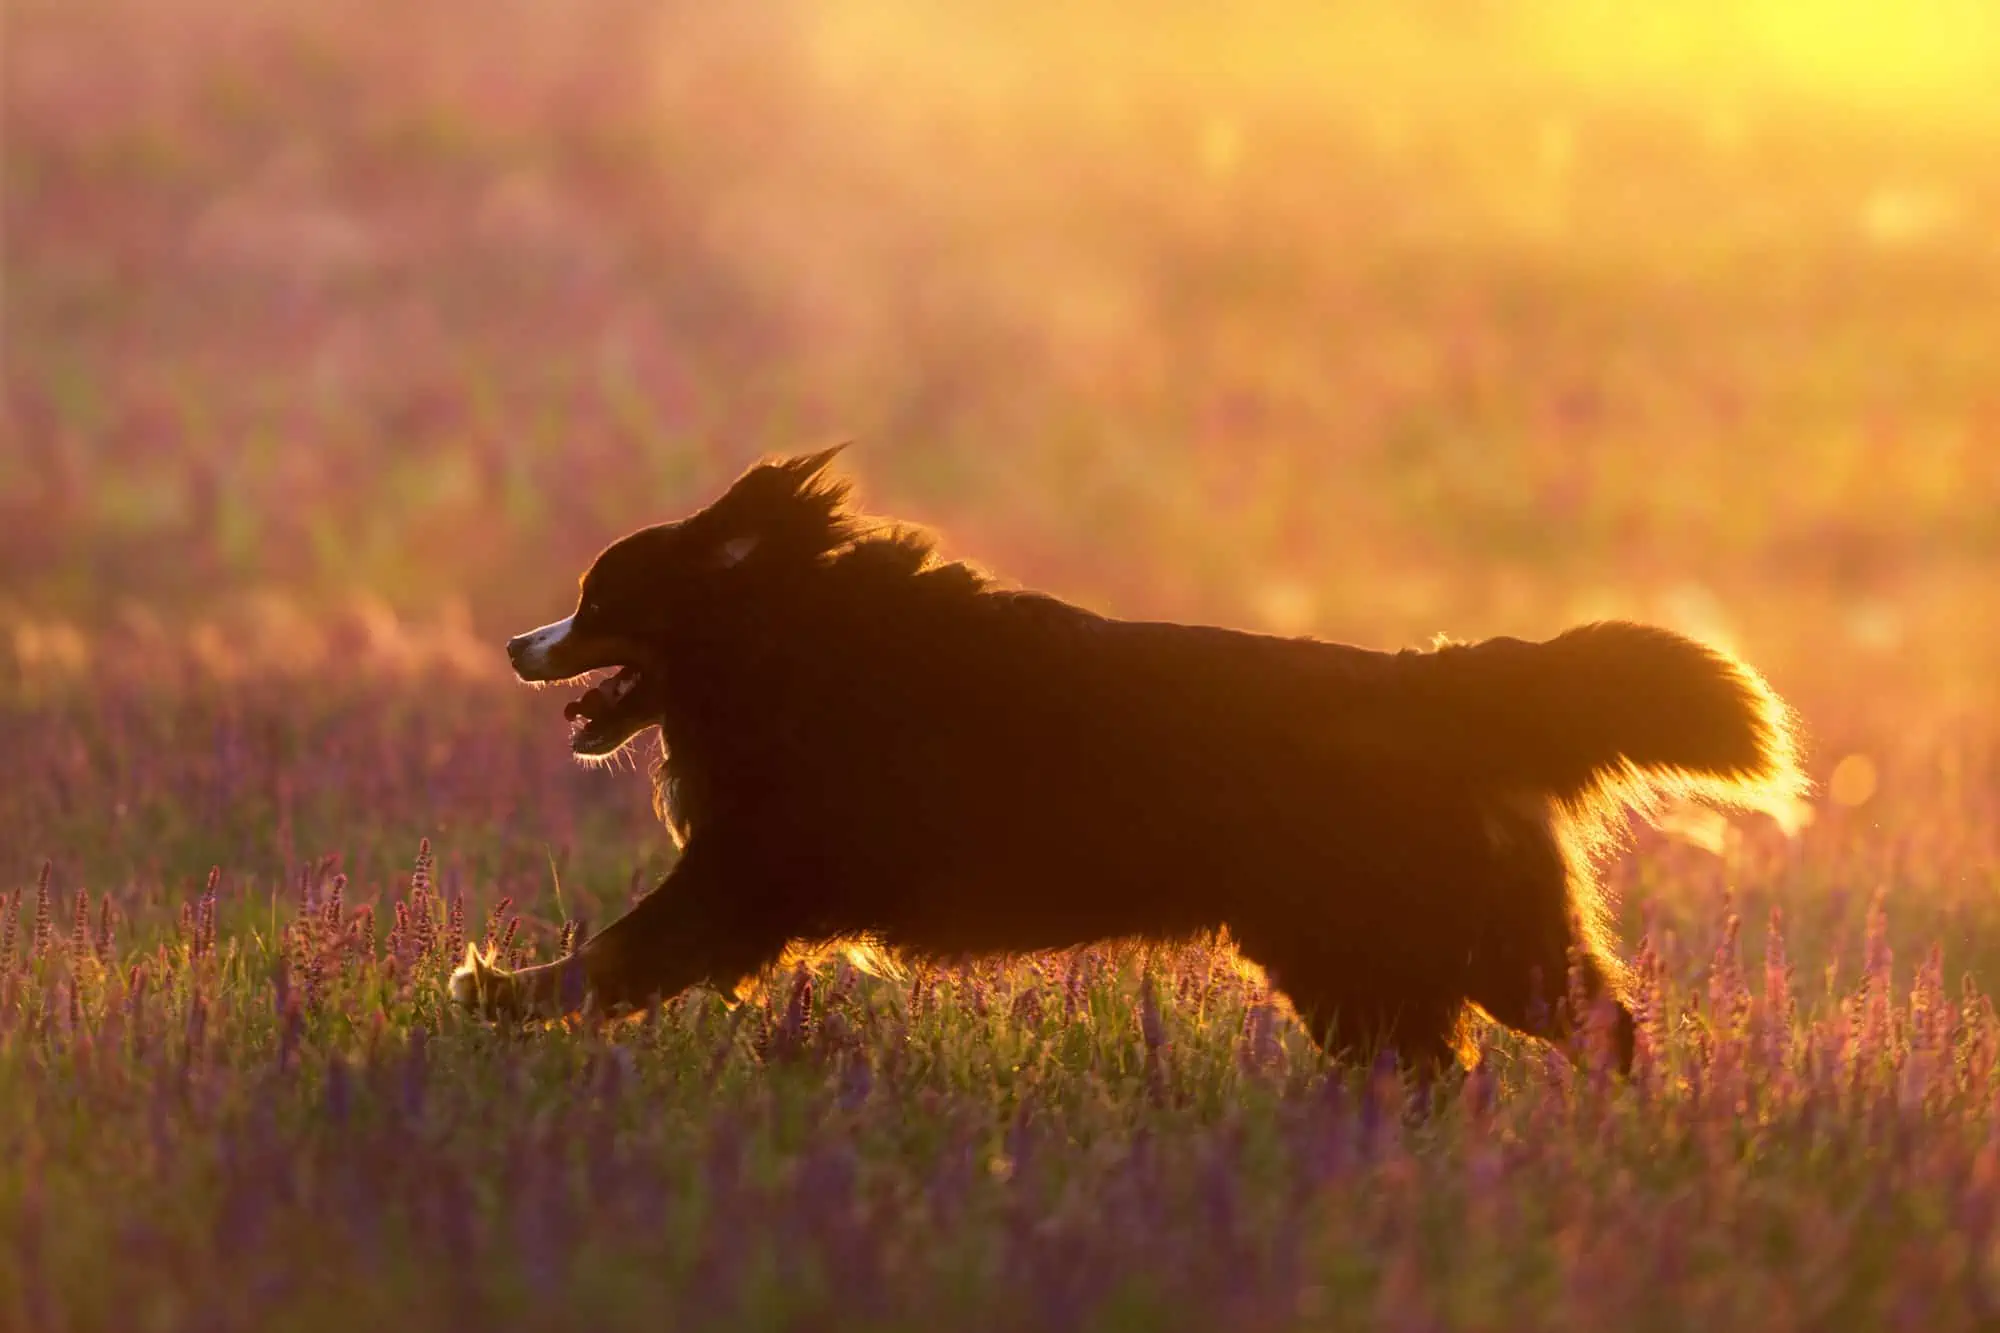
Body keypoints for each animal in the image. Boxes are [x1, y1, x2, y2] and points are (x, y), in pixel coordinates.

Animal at [458, 446, 1816, 1072]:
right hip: (1405, 942)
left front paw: (486, 990)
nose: (519, 644)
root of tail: (1442, 685)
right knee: (1496, 1042)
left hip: (1411, 931)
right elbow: (624, 958)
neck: (785, 642)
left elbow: (619, 953)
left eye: (598, 598)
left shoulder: (752, 871)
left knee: (1552, 1032)